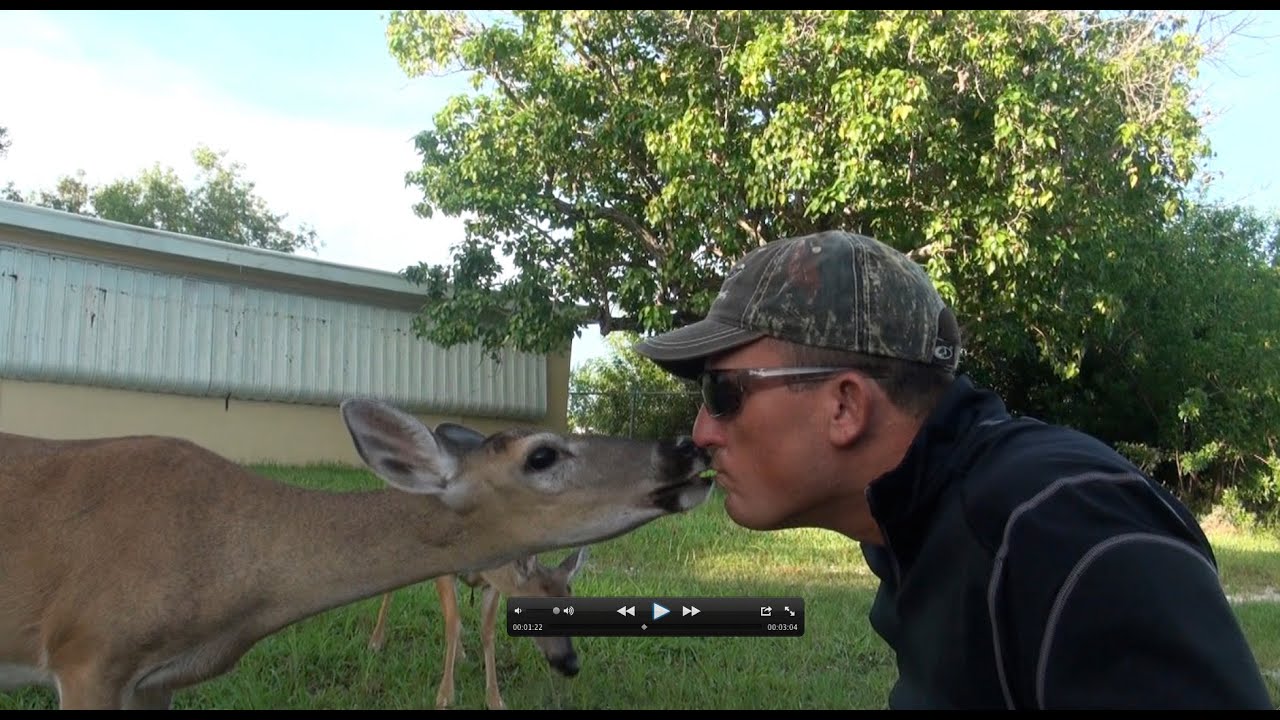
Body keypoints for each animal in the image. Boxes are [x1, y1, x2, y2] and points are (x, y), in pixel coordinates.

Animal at [367, 547, 588, 710]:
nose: (572, 665)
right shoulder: (446, 568)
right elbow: (453, 625)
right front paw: (444, 697)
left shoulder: (491, 585)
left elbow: (486, 631)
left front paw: (495, 700)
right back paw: (376, 641)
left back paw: (461, 655)